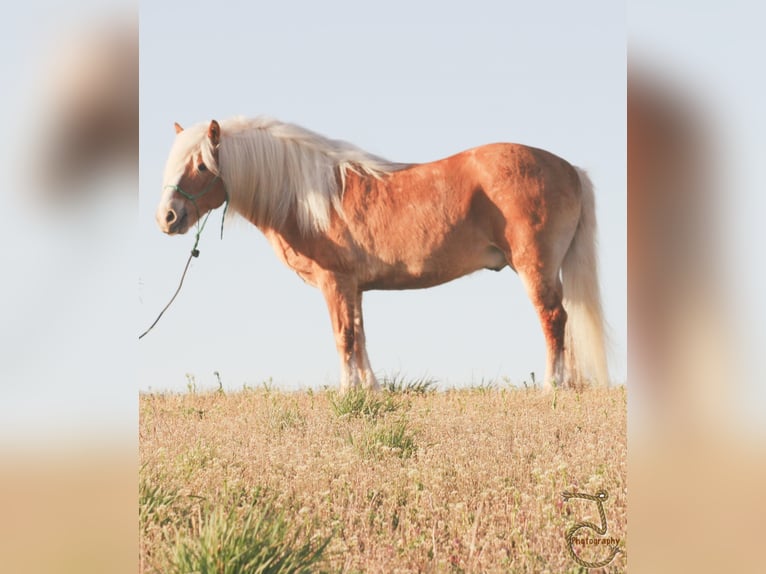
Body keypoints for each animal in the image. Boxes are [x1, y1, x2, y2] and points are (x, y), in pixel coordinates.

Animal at [156, 117, 608, 396]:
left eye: (201, 165)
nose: (167, 217)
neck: (310, 197)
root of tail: (568, 168)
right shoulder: (355, 287)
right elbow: (360, 336)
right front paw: (369, 390)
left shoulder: (335, 281)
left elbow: (343, 337)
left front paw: (346, 393)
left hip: (535, 266)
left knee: (553, 318)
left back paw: (552, 385)